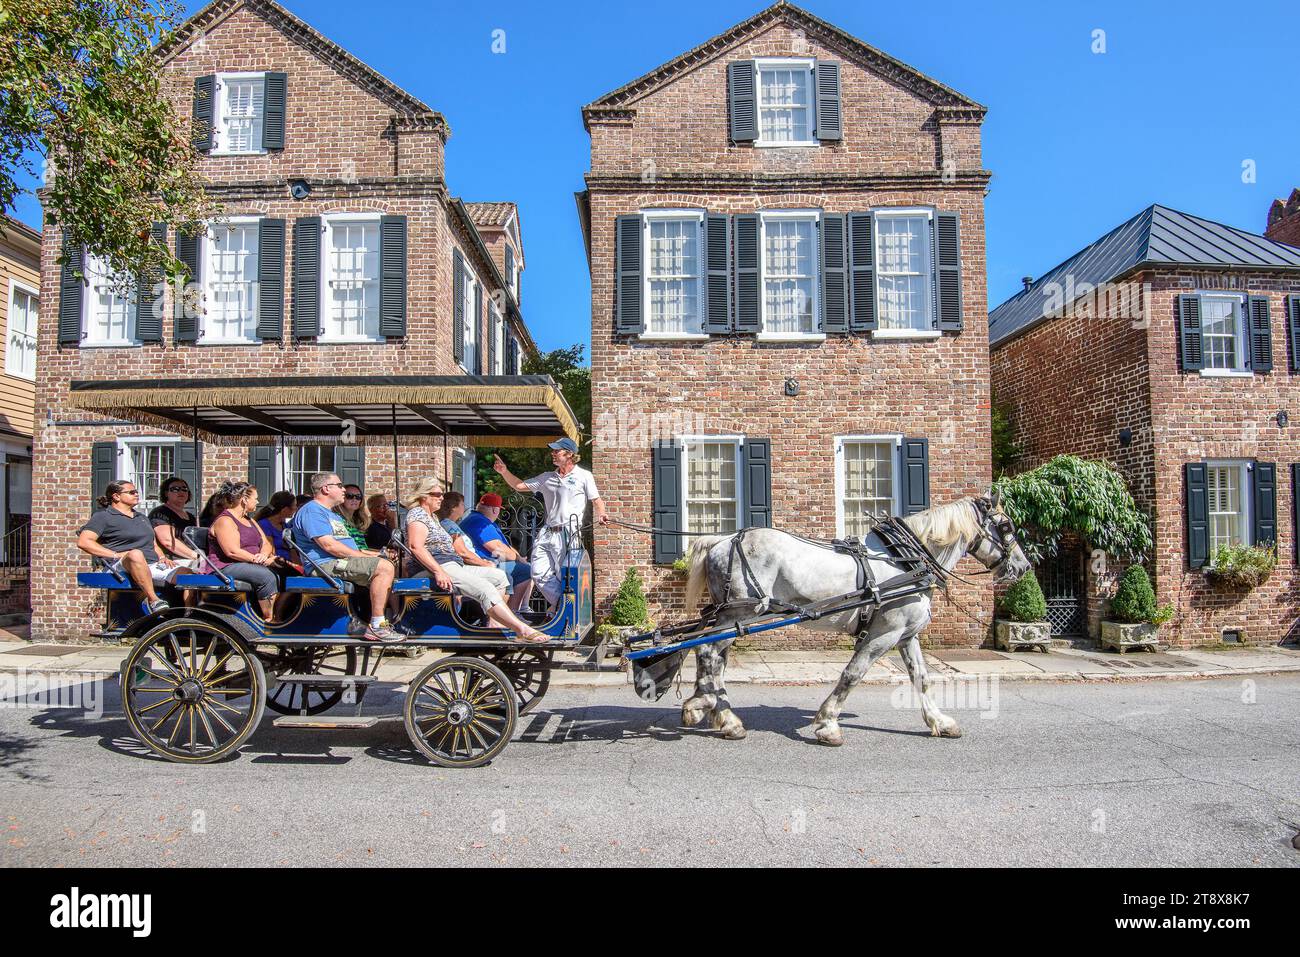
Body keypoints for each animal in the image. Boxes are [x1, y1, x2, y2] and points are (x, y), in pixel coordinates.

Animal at [676, 494, 1029, 748]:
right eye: (1007, 527)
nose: (1024, 566)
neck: (907, 560)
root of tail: (721, 541)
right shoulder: (885, 632)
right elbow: (853, 674)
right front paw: (827, 724)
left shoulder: (906, 634)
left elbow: (921, 678)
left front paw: (940, 722)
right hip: (741, 612)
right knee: (708, 653)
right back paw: (718, 713)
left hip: (732, 616)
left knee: (711, 657)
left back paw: (710, 709)